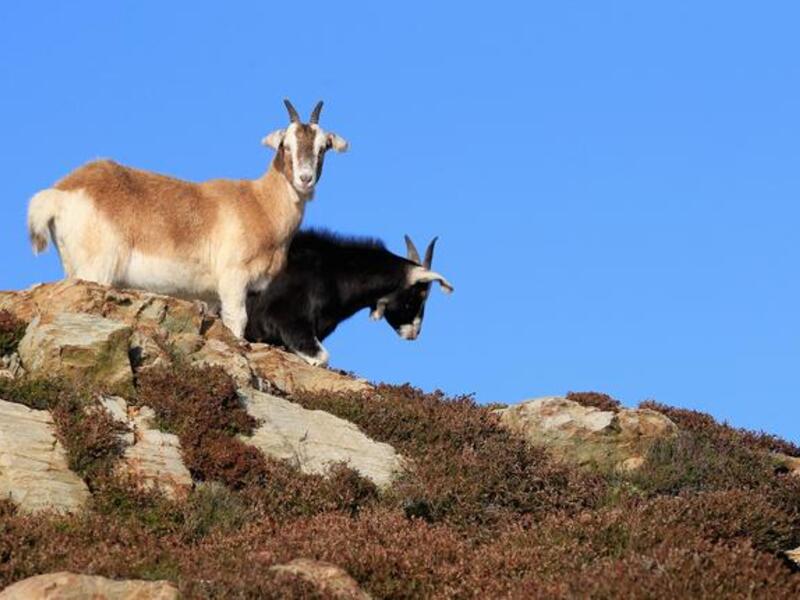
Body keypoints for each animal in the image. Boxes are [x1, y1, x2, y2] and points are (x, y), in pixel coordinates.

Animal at [27, 100, 348, 338]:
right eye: (286, 145)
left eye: (323, 147)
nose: (305, 179)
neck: (259, 202)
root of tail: (62, 190)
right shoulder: (233, 279)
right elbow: (237, 321)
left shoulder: (211, 295)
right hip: (96, 270)